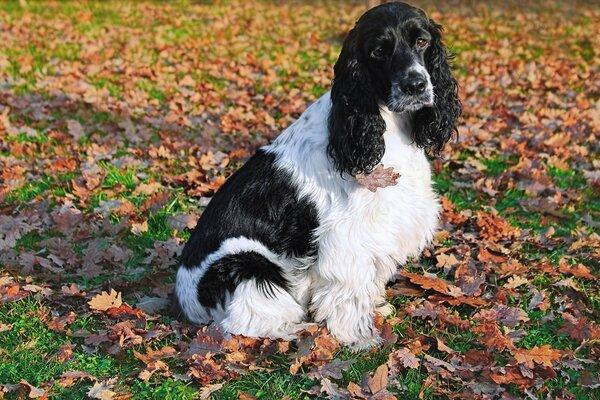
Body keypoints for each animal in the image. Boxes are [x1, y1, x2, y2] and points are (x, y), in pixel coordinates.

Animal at [172, 1, 460, 348]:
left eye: (421, 41)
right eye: (378, 51)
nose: (415, 85)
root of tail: (185, 301)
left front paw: (377, 308)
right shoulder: (347, 236)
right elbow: (350, 291)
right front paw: (358, 337)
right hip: (245, 262)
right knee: (242, 322)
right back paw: (296, 329)